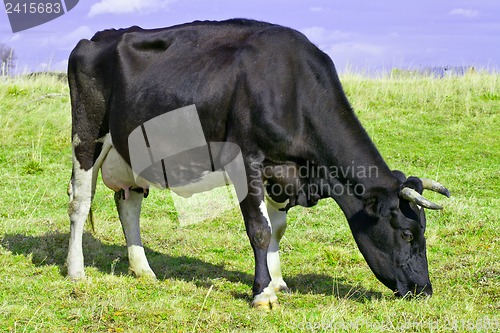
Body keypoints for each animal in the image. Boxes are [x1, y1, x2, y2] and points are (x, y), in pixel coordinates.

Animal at [66, 18, 450, 308]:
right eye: (407, 232)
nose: (425, 290)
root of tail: (99, 36)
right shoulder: (246, 161)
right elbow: (260, 230)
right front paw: (263, 294)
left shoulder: (282, 173)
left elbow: (277, 229)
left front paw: (278, 282)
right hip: (87, 137)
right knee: (80, 202)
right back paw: (76, 271)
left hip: (130, 151)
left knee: (129, 204)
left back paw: (143, 270)